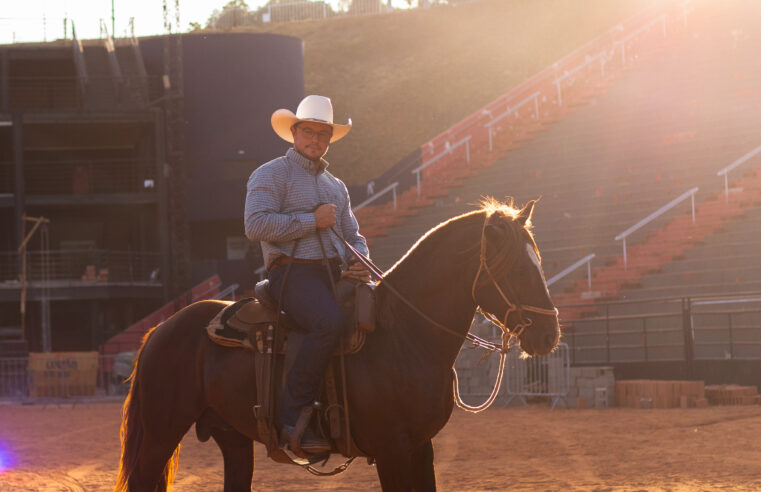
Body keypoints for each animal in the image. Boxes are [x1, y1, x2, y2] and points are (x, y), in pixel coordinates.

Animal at [116, 198, 560, 490]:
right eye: (517, 268)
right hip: (160, 434)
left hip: (234, 437)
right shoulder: (393, 449)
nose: (550, 335)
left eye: (537, 260)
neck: (403, 335)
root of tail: (160, 330)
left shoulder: (421, 447)